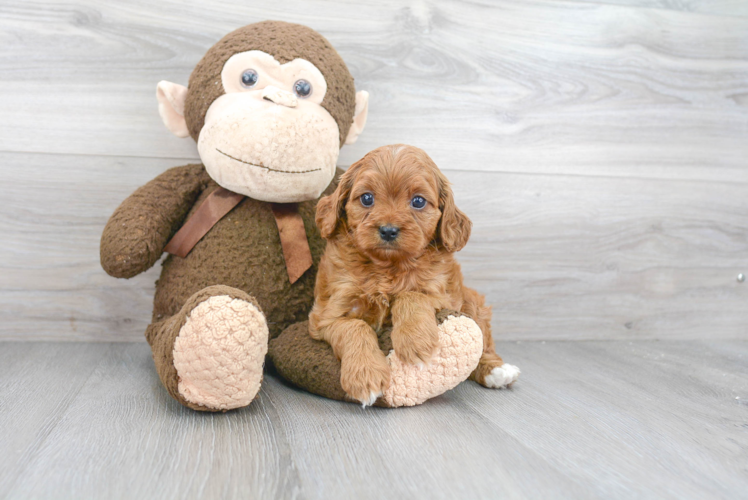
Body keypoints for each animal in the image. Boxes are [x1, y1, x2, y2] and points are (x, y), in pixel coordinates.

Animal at [310, 143, 520, 404]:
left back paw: (496, 370)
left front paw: (415, 342)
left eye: (418, 201)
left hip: (472, 301)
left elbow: (411, 295)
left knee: (484, 341)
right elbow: (354, 327)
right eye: (367, 198)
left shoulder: (441, 294)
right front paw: (366, 376)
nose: (388, 230)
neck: (387, 267)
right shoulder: (327, 314)